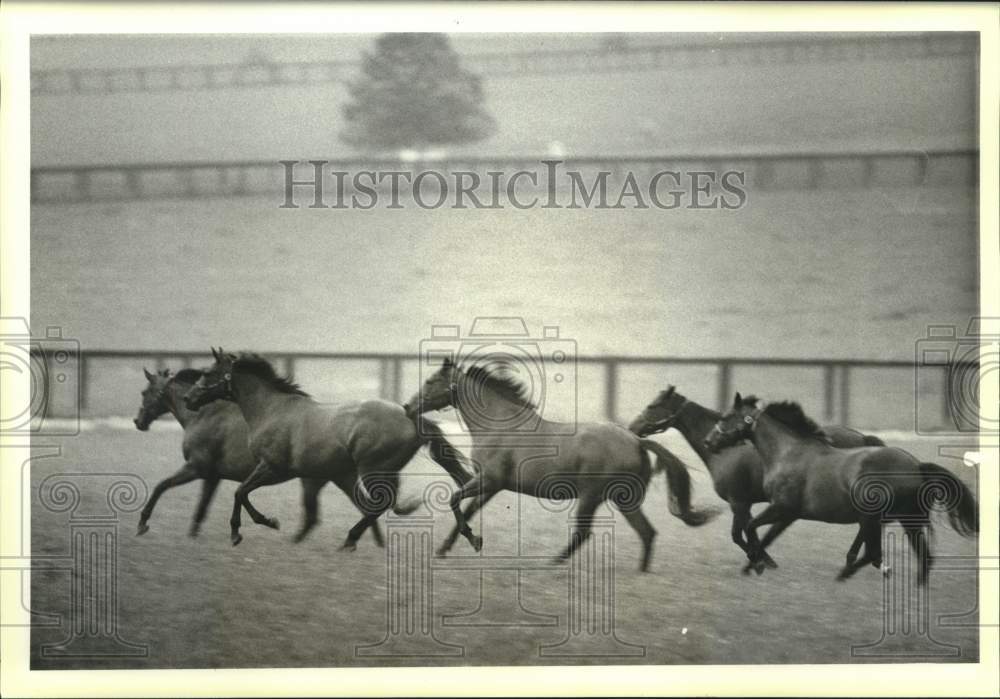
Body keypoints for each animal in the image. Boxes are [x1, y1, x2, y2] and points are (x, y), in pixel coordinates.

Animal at [133, 366, 378, 548]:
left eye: (144, 393)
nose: (138, 422)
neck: (203, 415)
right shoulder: (212, 476)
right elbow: (203, 506)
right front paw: (193, 536)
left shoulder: (196, 468)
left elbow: (161, 486)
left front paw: (142, 523)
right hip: (335, 478)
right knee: (357, 508)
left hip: (313, 480)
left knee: (324, 514)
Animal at [185, 348, 476, 548]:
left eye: (207, 374)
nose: (189, 398)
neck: (271, 409)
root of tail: (411, 417)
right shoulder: (315, 475)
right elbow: (244, 493)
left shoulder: (273, 469)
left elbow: (240, 492)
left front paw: (250, 528)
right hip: (366, 473)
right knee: (376, 506)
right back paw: (354, 540)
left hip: (372, 470)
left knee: (380, 504)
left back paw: (350, 539)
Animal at [398, 358, 712, 572]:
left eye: (430, 381)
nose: (407, 407)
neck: (500, 427)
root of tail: (636, 441)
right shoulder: (491, 486)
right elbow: (468, 511)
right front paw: (452, 546)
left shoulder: (489, 480)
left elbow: (454, 501)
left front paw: (472, 540)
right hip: (624, 500)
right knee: (646, 532)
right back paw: (640, 573)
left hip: (590, 496)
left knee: (584, 533)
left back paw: (552, 564)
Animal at [628, 386, 888, 572]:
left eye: (652, 406)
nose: (632, 428)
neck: (726, 450)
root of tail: (863, 438)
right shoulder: (747, 504)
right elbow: (750, 531)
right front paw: (763, 559)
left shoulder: (738, 502)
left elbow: (738, 534)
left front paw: (761, 561)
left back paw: (859, 559)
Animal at [704, 394, 976, 584]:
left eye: (725, 418)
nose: (708, 442)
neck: (788, 453)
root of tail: (917, 466)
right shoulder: (788, 513)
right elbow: (764, 534)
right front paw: (757, 564)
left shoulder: (782, 508)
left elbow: (751, 528)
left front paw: (757, 562)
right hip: (899, 519)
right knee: (909, 555)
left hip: (883, 518)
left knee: (882, 553)